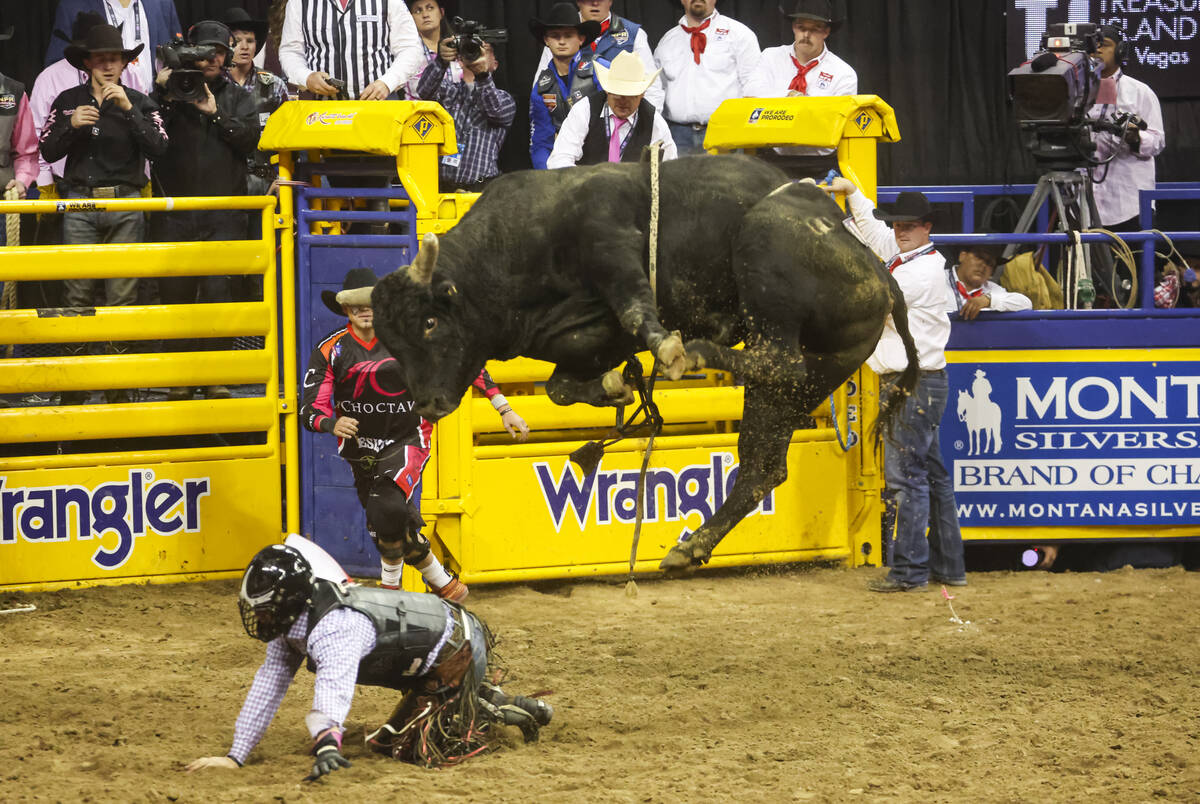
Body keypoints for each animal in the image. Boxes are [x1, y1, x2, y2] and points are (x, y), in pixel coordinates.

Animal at [374, 156, 916, 573]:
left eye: (428, 323)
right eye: (389, 342)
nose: (428, 403)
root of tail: (878, 270)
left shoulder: (607, 243)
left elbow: (635, 306)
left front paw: (666, 350)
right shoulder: (580, 341)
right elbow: (560, 387)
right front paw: (617, 386)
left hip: (766, 257)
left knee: (780, 360)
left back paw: (697, 349)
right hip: (810, 377)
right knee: (764, 463)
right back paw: (690, 547)